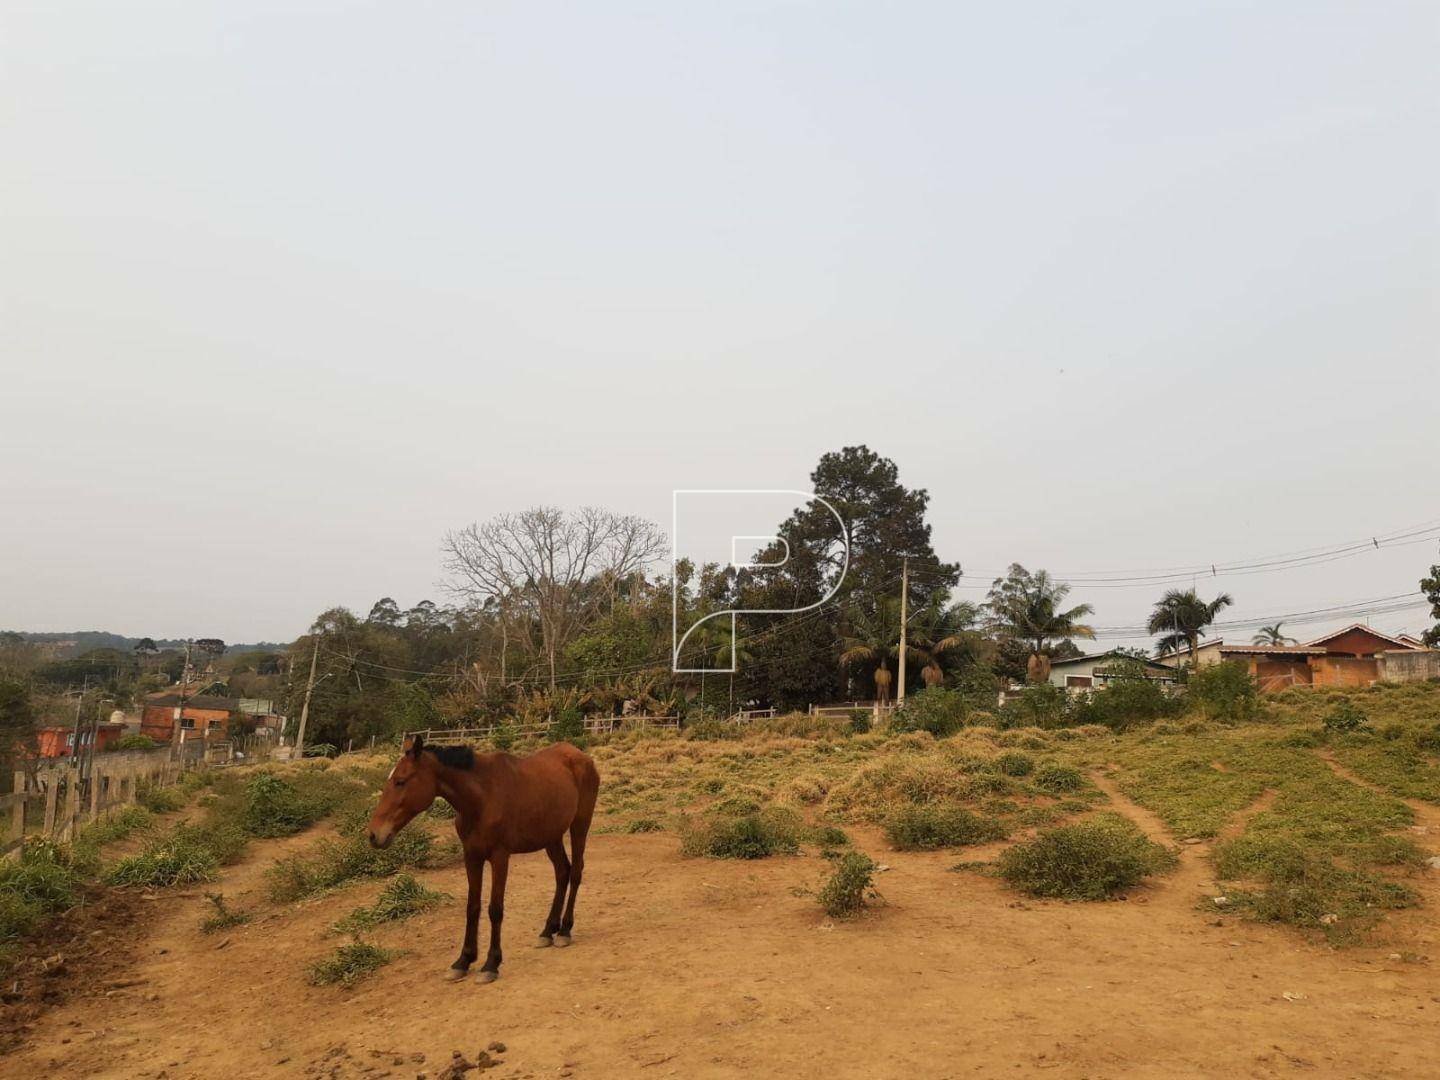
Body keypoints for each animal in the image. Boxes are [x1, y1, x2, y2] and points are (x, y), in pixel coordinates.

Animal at [371, 743, 601, 984]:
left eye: (400, 781)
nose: (374, 835)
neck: (481, 799)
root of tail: (580, 755)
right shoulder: (472, 857)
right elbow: (472, 908)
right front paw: (463, 961)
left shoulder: (499, 857)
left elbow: (495, 909)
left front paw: (491, 963)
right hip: (552, 836)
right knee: (562, 872)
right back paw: (548, 931)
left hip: (580, 825)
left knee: (575, 872)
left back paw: (565, 930)